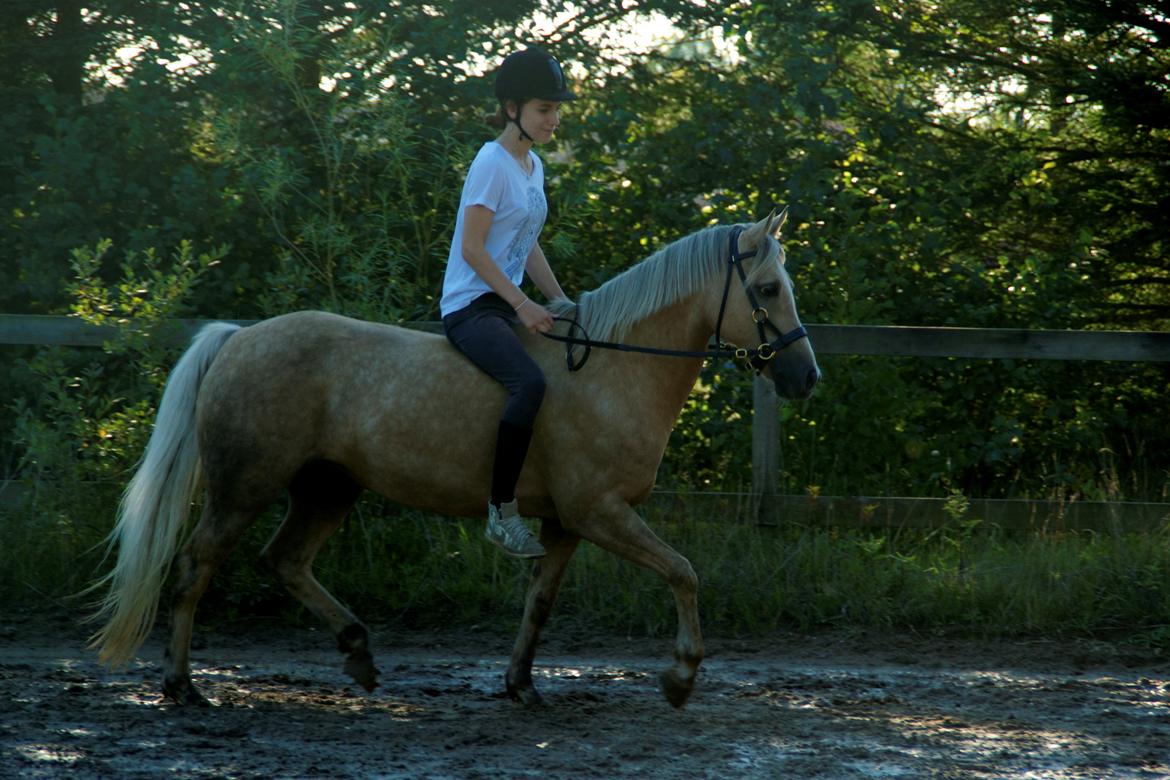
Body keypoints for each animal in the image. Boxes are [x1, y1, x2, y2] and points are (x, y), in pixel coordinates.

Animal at [86, 210, 819, 711]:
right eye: (766, 288)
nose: (805, 377)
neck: (612, 369)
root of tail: (238, 339)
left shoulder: (565, 524)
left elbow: (540, 602)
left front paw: (520, 684)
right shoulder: (600, 513)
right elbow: (683, 573)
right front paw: (680, 676)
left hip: (328, 488)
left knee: (285, 561)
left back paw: (358, 651)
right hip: (244, 488)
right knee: (195, 567)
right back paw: (182, 685)